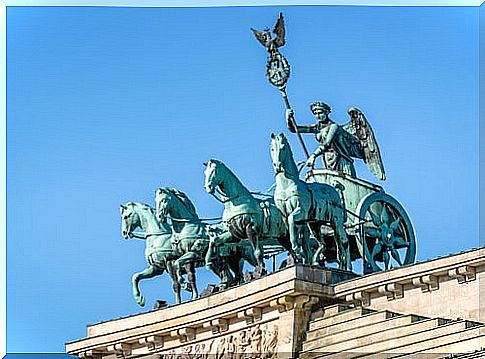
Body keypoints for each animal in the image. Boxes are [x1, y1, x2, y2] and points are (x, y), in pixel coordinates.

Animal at [268, 134, 352, 272]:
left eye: (283, 147)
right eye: (272, 149)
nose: (278, 166)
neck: (286, 185)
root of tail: (335, 190)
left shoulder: (300, 212)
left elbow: (292, 222)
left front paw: (297, 250)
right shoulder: (286, 216)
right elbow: (291, 232)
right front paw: (297, 254)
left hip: (336, 222)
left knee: (344, 242)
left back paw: (348, 268)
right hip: (315, 225)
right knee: (324, 244)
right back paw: (325, 263)